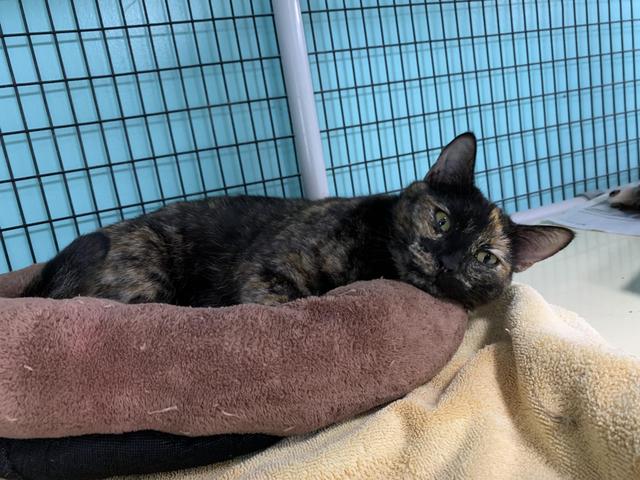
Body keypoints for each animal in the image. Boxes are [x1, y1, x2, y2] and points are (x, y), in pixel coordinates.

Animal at [23, 133, 574, 310]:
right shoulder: (265, 272)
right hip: (144, 278)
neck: (377, 266)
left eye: (485, 257)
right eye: (440, 220)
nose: (450, 260)